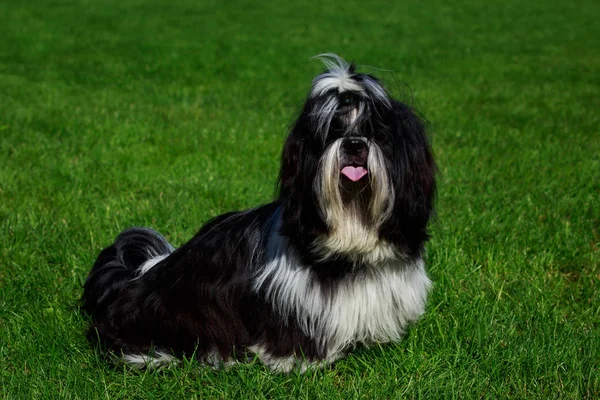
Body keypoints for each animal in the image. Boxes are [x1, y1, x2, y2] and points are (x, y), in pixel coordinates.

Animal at [79, 54, 436, 374]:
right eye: (331, 133)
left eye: (378, 134)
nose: (354, 144)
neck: (352, 235)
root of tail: (138, 276)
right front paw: (298, 360)